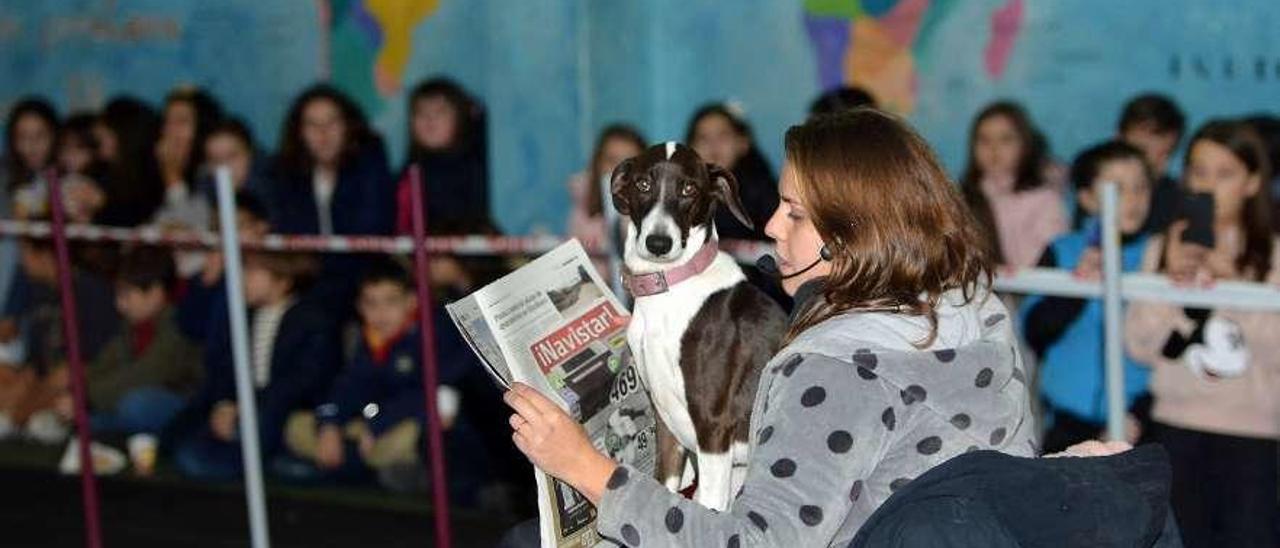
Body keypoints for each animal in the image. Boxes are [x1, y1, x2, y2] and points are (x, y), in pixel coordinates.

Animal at [611, 141, 783, 509]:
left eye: (689, 189)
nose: (658, 244)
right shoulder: (666, 425)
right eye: (643, 184)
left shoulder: (713, 428)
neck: (669, 290)